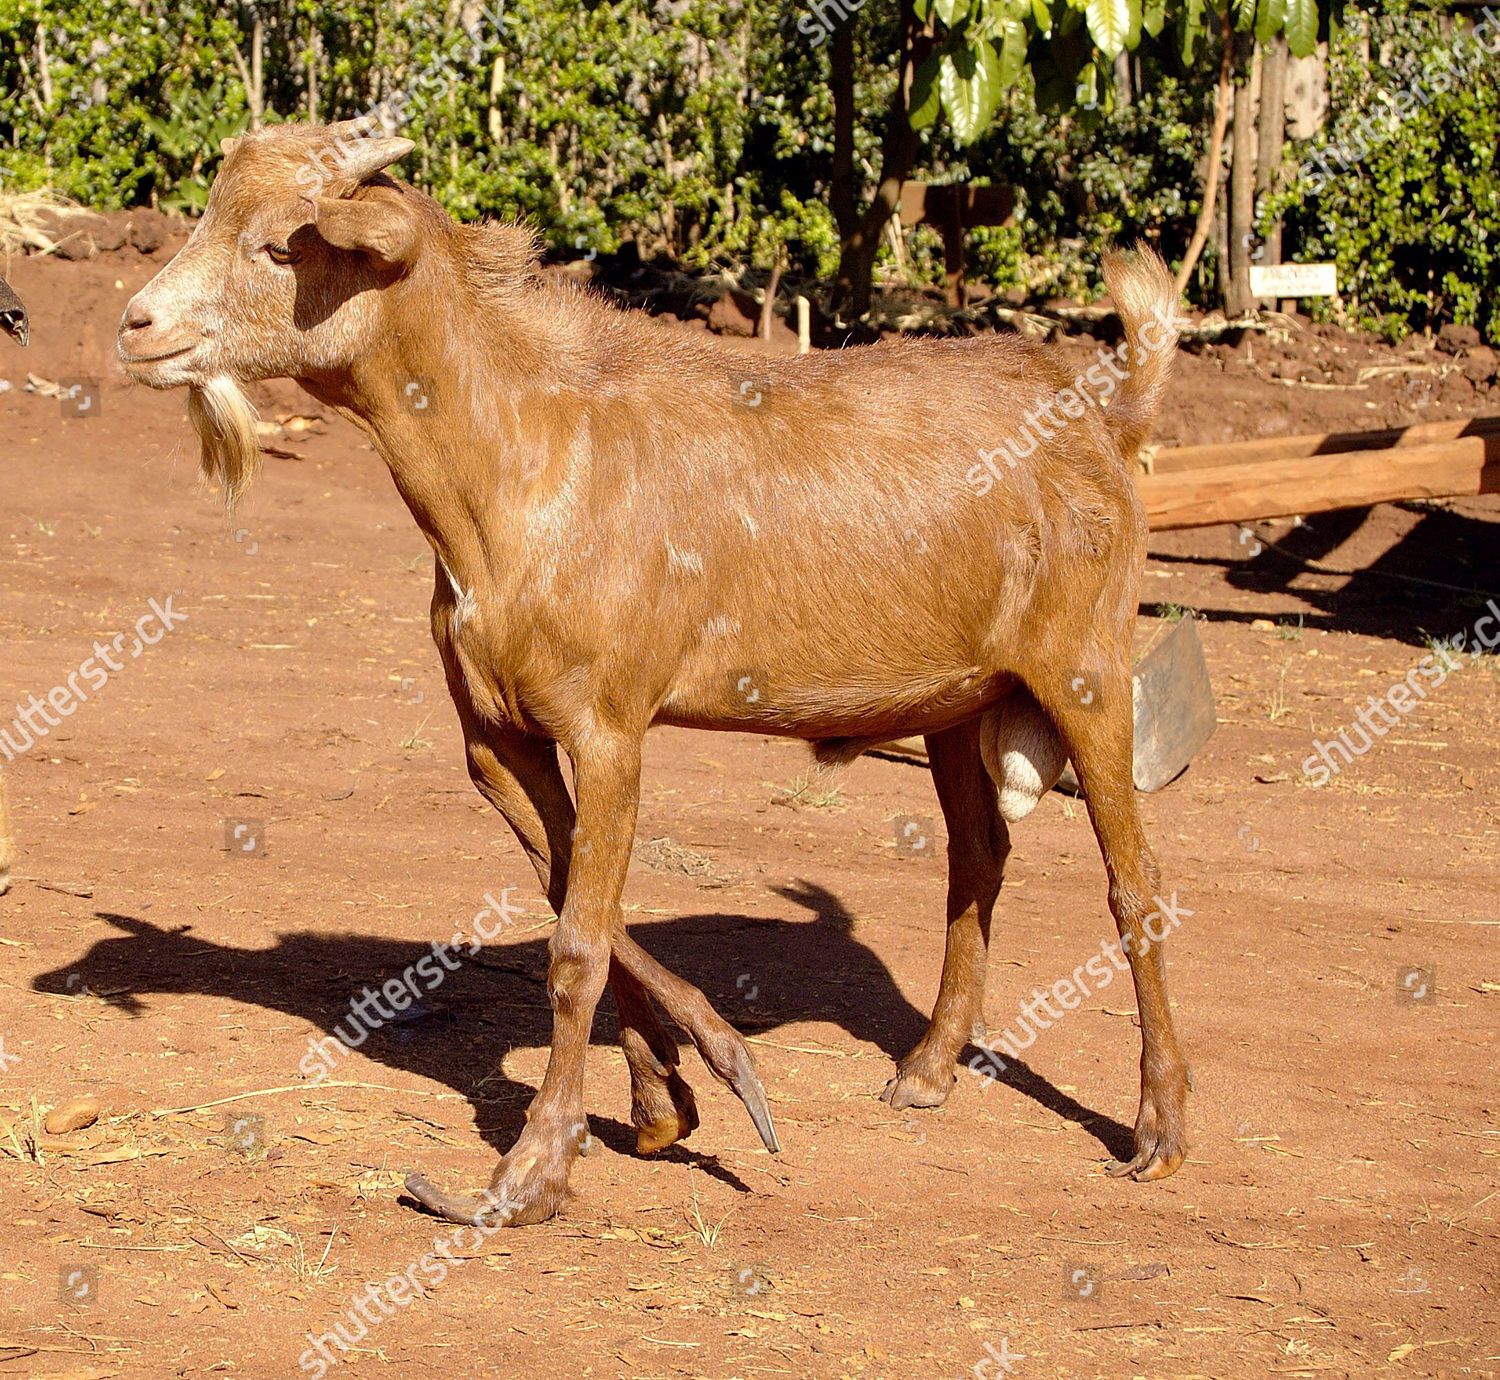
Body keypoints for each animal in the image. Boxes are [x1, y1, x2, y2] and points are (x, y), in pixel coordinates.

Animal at [117, 116, 1188, 1218]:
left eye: (279, 247)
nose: (137, 324)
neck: (523, 455)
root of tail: (1107, 417)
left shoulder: (610, 726)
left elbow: (577, 945)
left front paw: (535, 1166)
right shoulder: (496, 736)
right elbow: (575, 899)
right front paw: (669, 1097)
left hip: (1086, 671)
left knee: (1136, 884)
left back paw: (1157, 1130)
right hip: (957, 701)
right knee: (979, 858)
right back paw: (928, 1070)